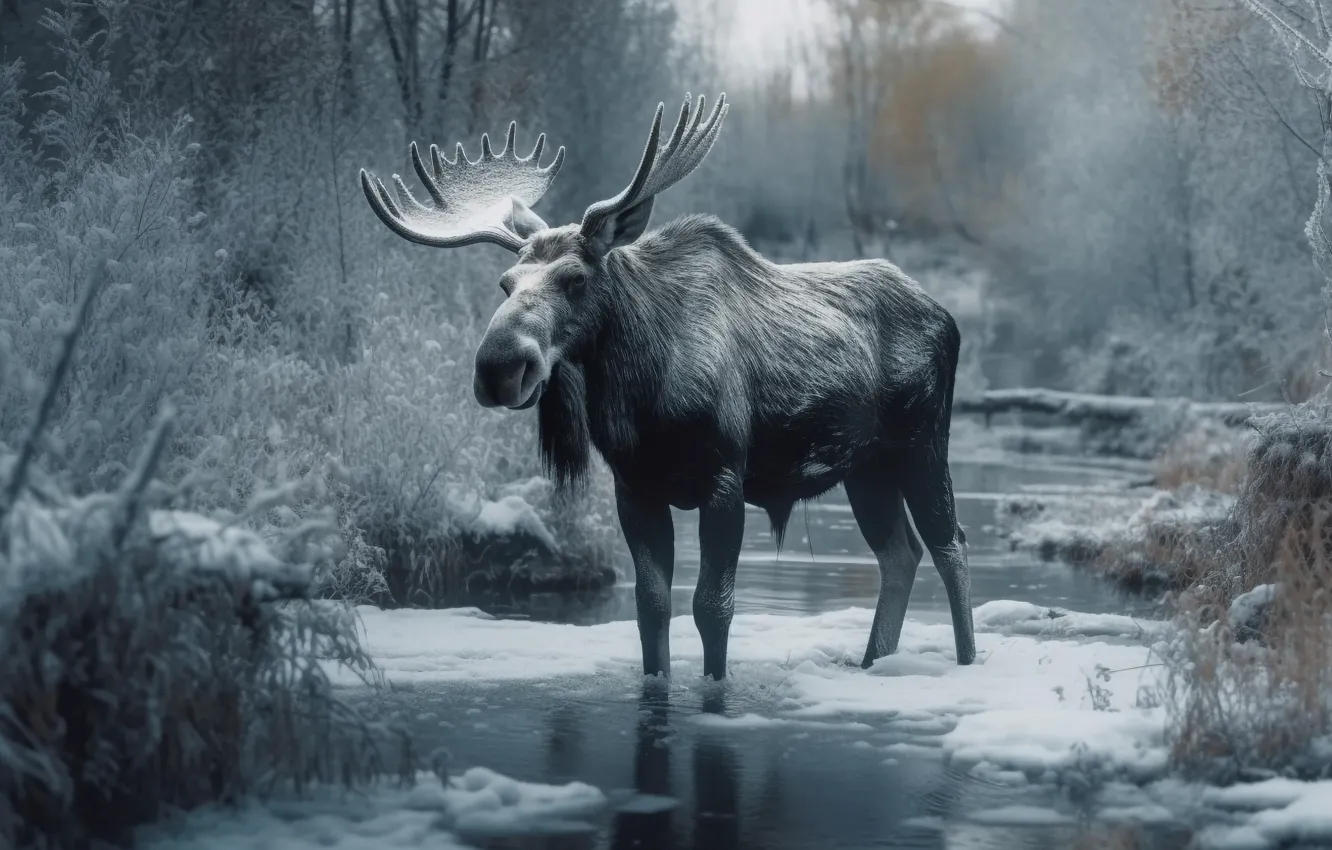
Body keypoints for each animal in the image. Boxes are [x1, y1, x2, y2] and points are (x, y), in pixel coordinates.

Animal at [359, 94, 976, 681]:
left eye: (575, 278)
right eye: (506, 282)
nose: (499, 366)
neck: (641, 394)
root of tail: (948, 318)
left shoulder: (724, 480)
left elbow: (712, 606)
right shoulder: (636, 487)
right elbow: (650, 608)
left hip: (922, 445)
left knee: (950, 545)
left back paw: (966, 661)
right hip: (866, 468)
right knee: (900, 554)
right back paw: (875, 662)